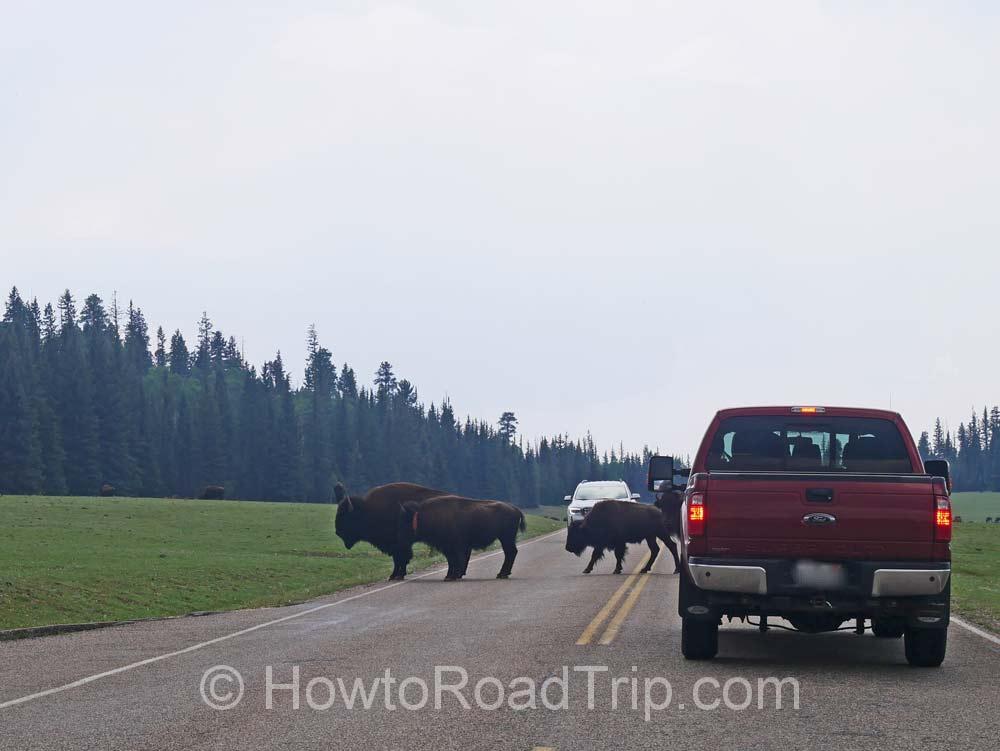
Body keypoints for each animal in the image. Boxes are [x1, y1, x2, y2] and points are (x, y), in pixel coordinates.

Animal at [396, 500, 528, 580]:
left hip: (506, 538)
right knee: (510, 553)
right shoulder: (449, 548)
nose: (398, 538)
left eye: (404, 521)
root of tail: (515, 509)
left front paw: (452, 576)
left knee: (510, 552)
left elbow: (455, 560)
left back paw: (502, 574)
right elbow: (452, 561)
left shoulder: (453, 547)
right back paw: (503, 574)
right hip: (506, 539)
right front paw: (450, 576)